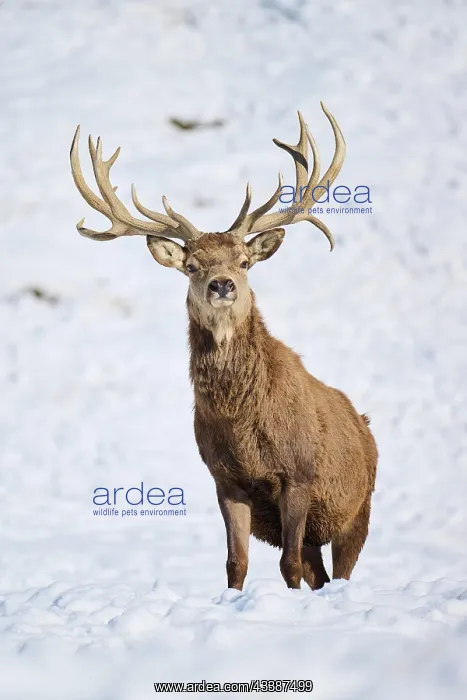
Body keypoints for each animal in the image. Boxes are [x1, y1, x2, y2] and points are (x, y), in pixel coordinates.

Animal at [70, 103, 378, 591]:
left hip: (357, 510)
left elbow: (288, 564)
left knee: (340, 572)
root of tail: (366, 430)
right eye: (192, 265)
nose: (222, 284)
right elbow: (237, 564)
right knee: (320, 573)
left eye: (245, 261)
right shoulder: (225, 479)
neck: (242, 425)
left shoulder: (298, 472)